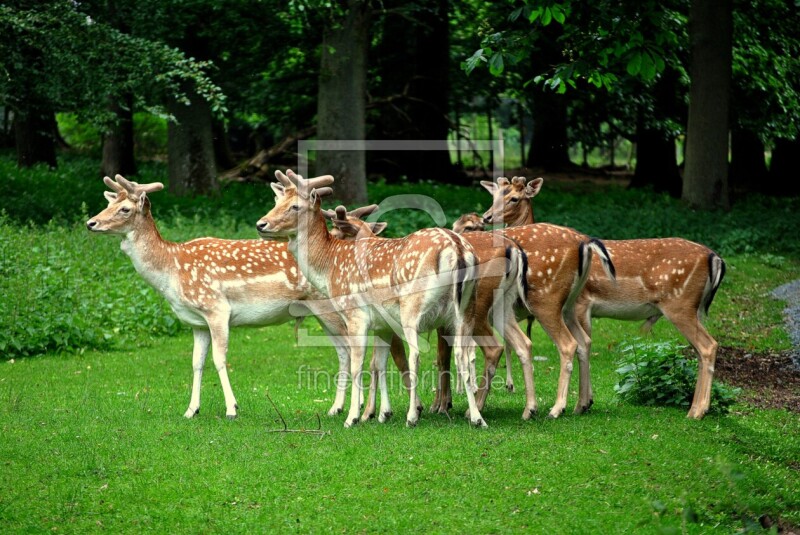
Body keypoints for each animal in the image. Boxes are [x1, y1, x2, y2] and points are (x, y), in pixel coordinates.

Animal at [86, 174, 400, 420]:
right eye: (107, 204)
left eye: (125, 208)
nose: (91, 223)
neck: (172, 271)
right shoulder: (196, 322)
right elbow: (197, 362)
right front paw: (191, 410)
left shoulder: (216, 308)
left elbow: (219, 359)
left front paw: (231, 409)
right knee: (346, 352)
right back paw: (341, 408)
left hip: (331, 308)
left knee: (358, 349)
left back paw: (362, 409)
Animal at [256, 170, 488, 430]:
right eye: (277, 202)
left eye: (295, 206)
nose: (261, 224)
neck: (329, 267)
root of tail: (456, 248)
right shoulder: (383, 324)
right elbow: (380, 363)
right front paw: (382, 413)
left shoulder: (355, 315)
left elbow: (358, 365)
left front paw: (352, 417)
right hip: (466, 309)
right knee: (464, 355)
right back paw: (477, 417)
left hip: (412, 307)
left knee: (417, 355)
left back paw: (412, 417)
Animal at [478, 176, 728, 418]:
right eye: (494, 195)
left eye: (514, 198)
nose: (486, 217)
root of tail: (716, 258)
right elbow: (583, 344)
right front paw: (585, 402)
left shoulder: (583, 304)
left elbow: (582, 344)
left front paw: (583, 401)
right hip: (693, 309)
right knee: (699, 350)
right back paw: (696, 407)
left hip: (679, 305)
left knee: (708, 346)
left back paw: (697, 411)